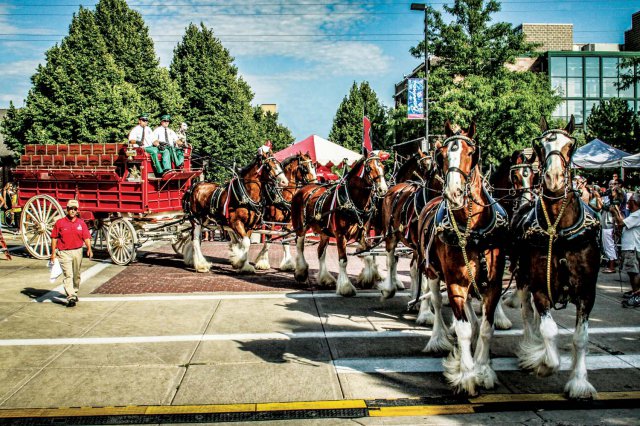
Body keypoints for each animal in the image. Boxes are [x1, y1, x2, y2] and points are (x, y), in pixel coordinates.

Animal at [292, 151, 390, 298]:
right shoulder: (340, 235)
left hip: (324, 232)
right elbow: (343, 260)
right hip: (301, 228)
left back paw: (325, 279)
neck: (352, 201)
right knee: (300, 247)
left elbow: (367, 255)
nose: (383, 190)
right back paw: (301, 272)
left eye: (383, 167)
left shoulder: (363, 233)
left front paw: (367, 279)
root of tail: (302, 189)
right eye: (369, 168)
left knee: (320, 252)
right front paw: (345, 287)